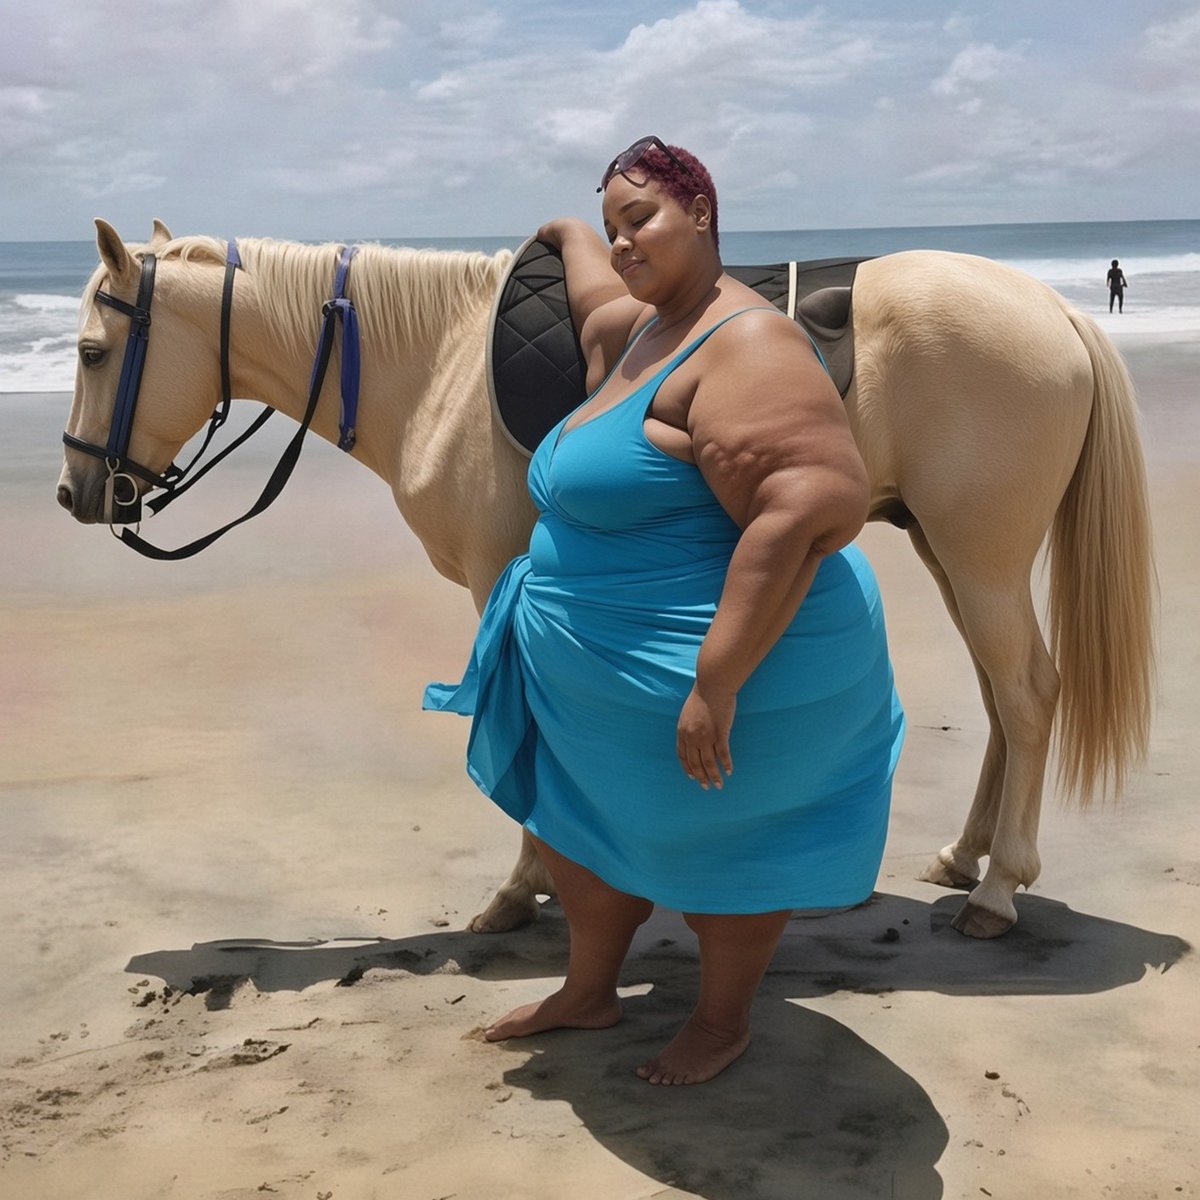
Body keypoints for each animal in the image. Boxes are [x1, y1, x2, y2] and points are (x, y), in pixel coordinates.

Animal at [57, 219, 1156, 939]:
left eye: (95, 350)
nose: (77, 492)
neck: (437, 361)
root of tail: (1053, 309)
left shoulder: (500, 577)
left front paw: (524, 889)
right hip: (948, 548)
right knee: (1003, 697)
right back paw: (966, 859)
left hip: (980, 552)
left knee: (1028, 694)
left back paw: (1000, 890)